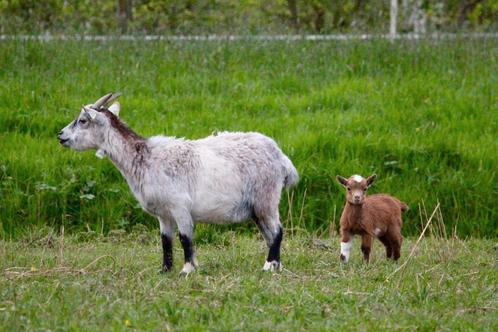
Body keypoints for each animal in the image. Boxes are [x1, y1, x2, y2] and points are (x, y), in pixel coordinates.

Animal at [58, 93, 300, 274]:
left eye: (83, 120)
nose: (60, 135)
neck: (146, 159)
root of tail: (282, 158)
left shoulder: (180, 206)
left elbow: (185, 238)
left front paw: (187, 270)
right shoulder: (163, 214)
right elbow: (166, 241)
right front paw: (165, 270)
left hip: (266, 197)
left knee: (278, 231)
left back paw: (267, 266)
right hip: (256, 207)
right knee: (270, 234)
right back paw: (276, 265)